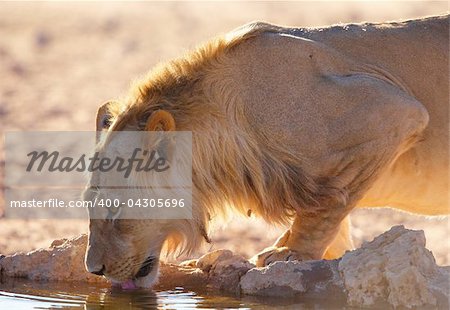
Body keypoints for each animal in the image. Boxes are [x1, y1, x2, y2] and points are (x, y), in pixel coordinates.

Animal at [83, 15, 446, 288]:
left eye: (113, 211)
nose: (93, 270)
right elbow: (332, 219)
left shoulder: (395, 112)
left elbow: (324, 207)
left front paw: (289, 255)